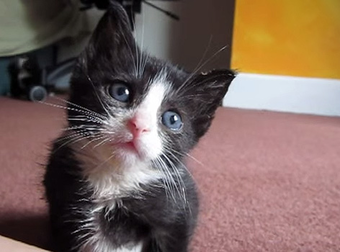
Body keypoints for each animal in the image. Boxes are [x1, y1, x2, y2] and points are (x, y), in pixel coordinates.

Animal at [43, 1, 235, 252]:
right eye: (120, 92)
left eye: (172, 119)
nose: (139, 125)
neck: (115, 178)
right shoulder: (61, 207)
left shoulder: (178, 215)